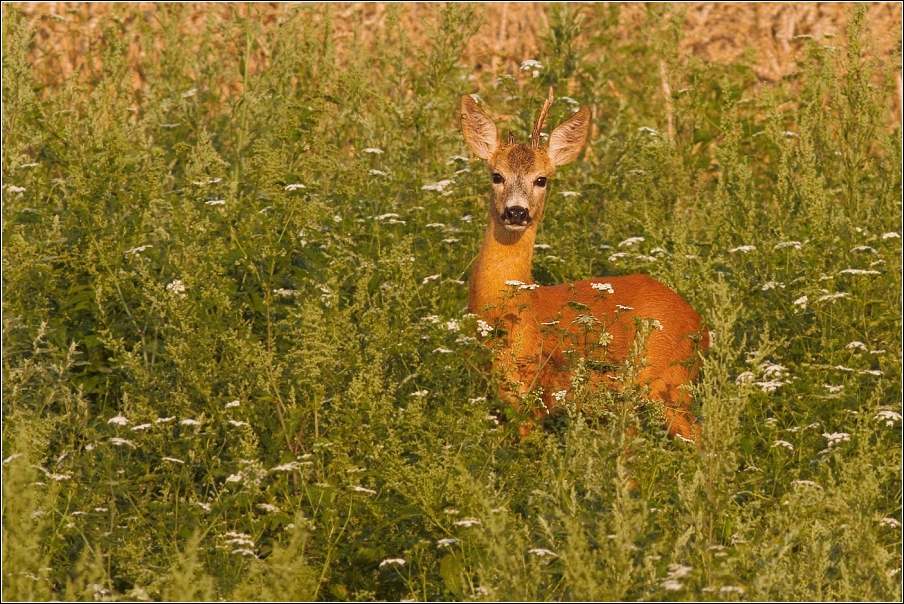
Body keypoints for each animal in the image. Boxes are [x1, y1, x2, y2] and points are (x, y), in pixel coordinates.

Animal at [462, 89, 708, 438]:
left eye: (541, 179)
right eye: (497, 176)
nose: (516, 212)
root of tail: (702, 327)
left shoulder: (534, 395)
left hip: (669, 384)